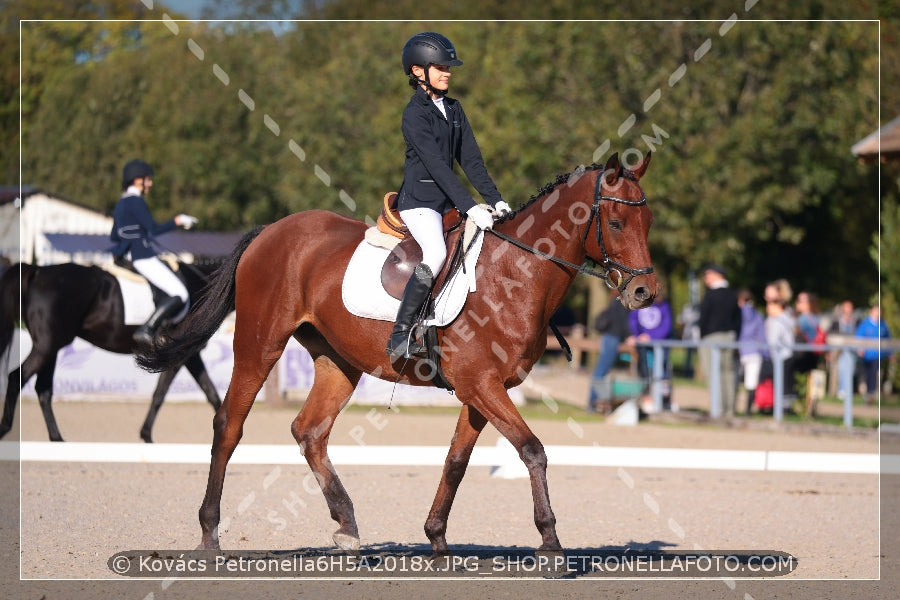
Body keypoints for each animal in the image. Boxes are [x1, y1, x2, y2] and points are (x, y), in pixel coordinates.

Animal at [0, 258, 223, 440]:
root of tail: (39, 271)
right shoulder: (181, 354)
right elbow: (161, 394)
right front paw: (147, 436)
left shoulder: (191, 355)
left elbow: (210, 392)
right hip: (46, 346)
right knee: (17, 378)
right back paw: (6, 429)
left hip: (51, 347)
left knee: (43, 390)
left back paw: (57, 439)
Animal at [142, 152, 660, 556]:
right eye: (616, 223)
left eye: (649, 222)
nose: (644, 293)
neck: (517, 271)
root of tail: (271, 230)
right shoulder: (481, 384)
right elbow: (532, 449)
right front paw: (550, 542)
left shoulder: (480, 389)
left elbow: (456, 462)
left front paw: (438, 540)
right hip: (258, 344)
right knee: (229, 424)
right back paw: (210, 533)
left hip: (339, 362)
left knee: (310, 431)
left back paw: (347, 526)